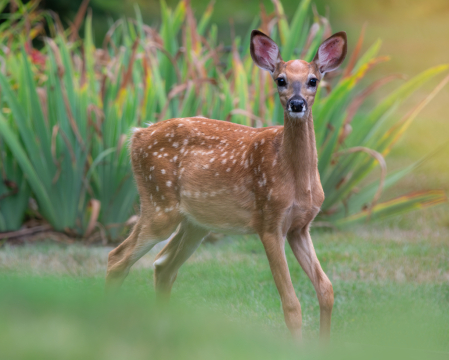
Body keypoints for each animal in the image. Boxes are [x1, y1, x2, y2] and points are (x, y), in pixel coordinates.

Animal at [105, 28, 346, 340]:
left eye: (313, 80)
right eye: (280, 80)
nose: (297, 104)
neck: (297, 178)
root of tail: (136, 135)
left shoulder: (300, 227)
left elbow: (326, 289)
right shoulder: (269, 222)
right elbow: (291, 305)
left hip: (195, 222)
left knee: (163, 264)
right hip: (159, 205)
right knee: (116, 258)